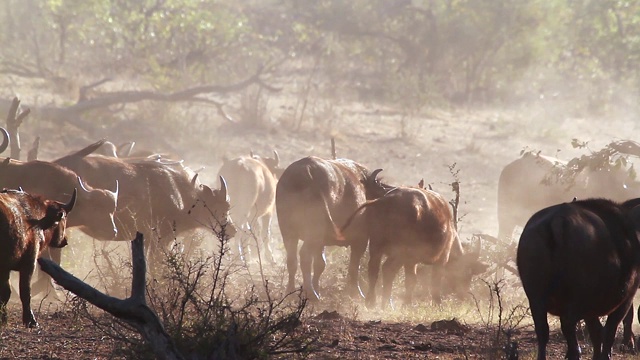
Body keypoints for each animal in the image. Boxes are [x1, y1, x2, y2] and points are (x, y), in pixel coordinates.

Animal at [0, 188, 77, 326]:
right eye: (64, 217)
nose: (65, 240)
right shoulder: (29, 263)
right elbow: (25, 291)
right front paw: (30, 320)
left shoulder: (5, 269)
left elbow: (5, 293)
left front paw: (3, 319)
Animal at [276, 156, 370, 300]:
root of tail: (305, 170)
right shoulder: (360, 240)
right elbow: (354, 266)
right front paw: (356, 293)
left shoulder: (321, 243)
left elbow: (320, 263)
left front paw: (318, 288)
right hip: (313, 232)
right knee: (304, 256)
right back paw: (311, 293)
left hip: (288, 231)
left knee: (292, 259)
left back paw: (290, 292)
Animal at [348, 170, 488, 308]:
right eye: (467, 273)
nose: (464, 296)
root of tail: (387, 199)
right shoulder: (441, 258)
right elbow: (433, 281)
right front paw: (437, 303)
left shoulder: (412, 260)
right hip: (401, 251)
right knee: (391, 270)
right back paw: (390, 303)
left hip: (376, 244)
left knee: (374, 268)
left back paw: (372, 302)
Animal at [516, 198, 640, 358]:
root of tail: (558, 220)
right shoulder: (625, 298)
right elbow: (611, 329)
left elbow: (597, 333)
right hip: (578, 296)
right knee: (568, 323)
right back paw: (575, 353)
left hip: (536, 297)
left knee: (543, 330)